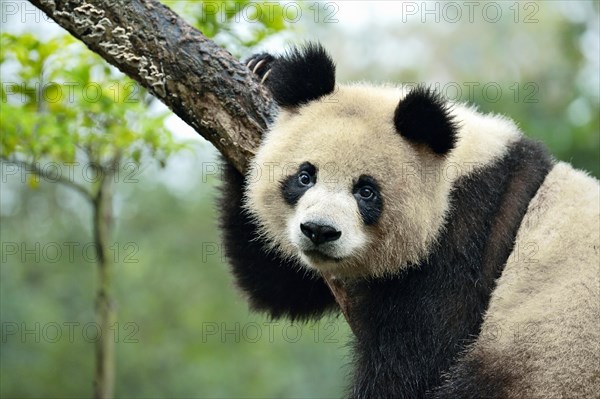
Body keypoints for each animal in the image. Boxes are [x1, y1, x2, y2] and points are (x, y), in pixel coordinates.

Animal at [218, 43, 596, 399]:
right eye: (304, 177)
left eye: (366, 191)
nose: (319, 231)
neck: (454, 171)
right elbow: (279, 284)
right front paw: (263, 67)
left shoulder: (470, 234)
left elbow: (417, 359)